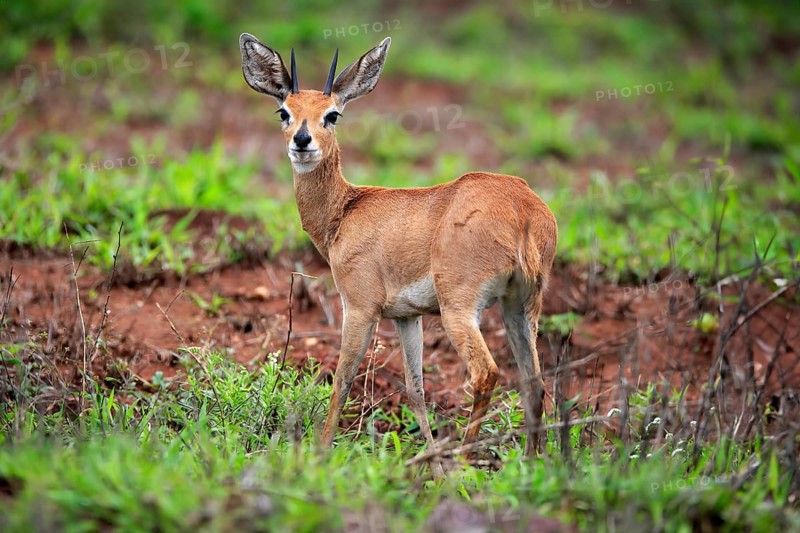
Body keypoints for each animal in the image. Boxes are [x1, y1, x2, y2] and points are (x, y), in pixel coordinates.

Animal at [240, 34, 557, 477]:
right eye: (284, 111)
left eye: (332, 115)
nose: (302, 141)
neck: (346, 210)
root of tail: (523, 207)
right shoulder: (407, 317)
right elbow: (415, 389)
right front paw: (432, 467)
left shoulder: (358, 308)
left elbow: (342, 379)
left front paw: (321, 454)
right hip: (522, 306)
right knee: (534, 381)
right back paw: (529, 464)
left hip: (460, 309)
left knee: (486, 374)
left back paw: (464, 463)